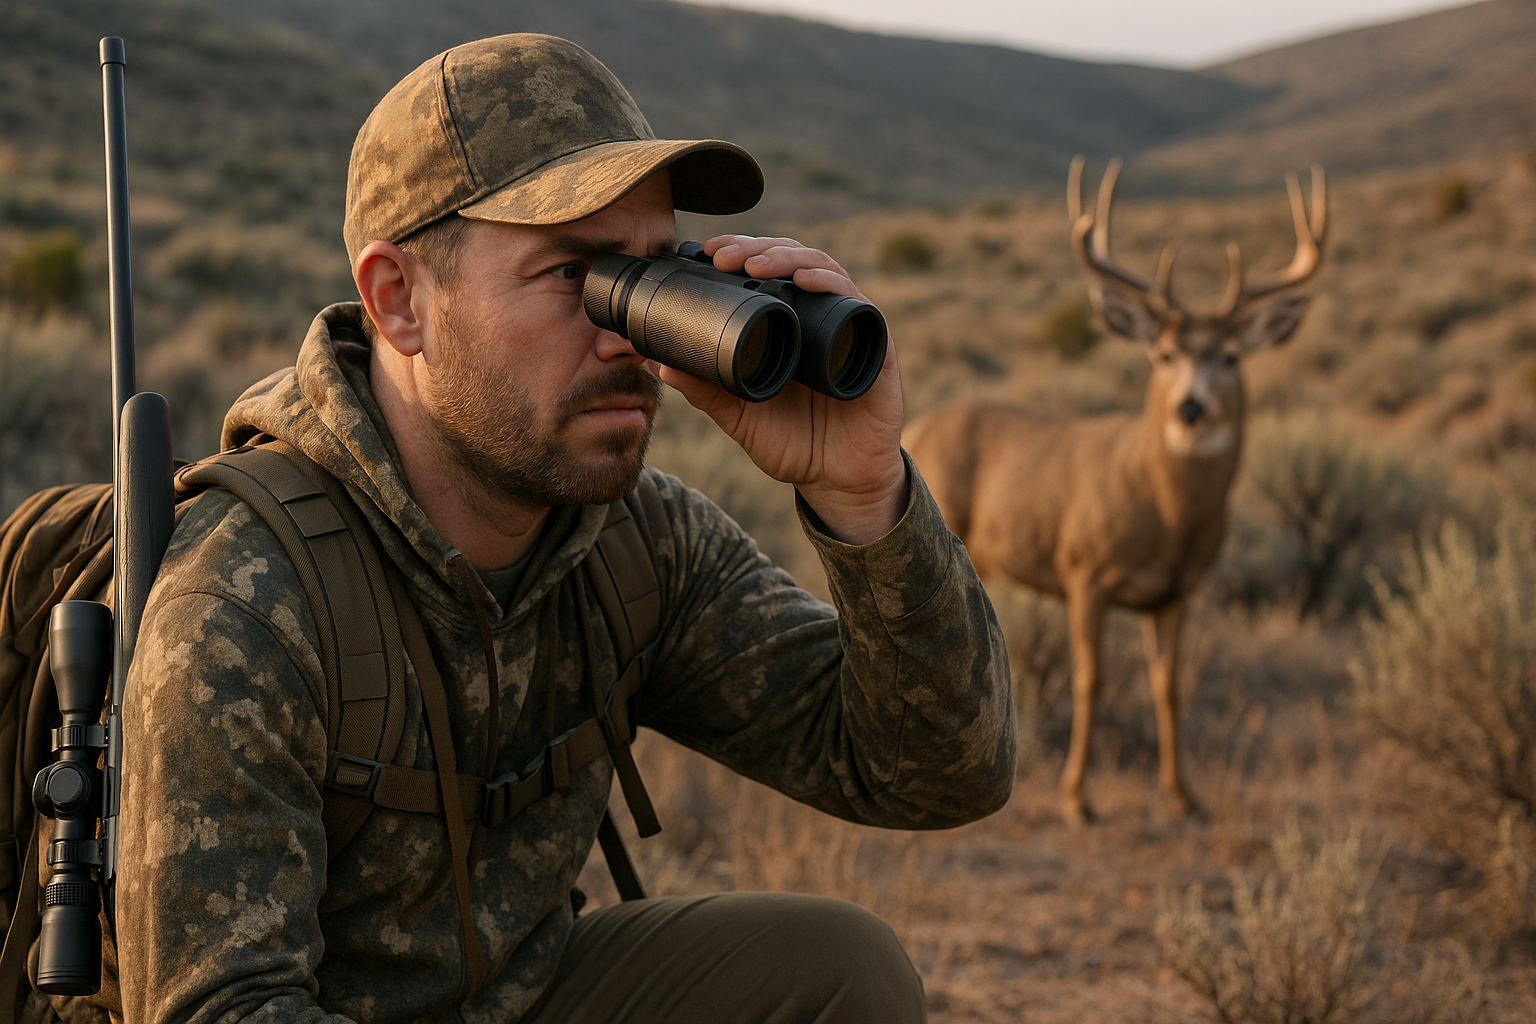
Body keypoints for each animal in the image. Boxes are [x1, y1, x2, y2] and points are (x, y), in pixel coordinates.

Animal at [904, 157, 1326, 825]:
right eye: (1164, 352)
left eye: (1231, 356)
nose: (1190, 408)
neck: (1167, 516)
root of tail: (916, 425)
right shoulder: (1084, 571)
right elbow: (1091, 679)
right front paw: (1078, 797)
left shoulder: (1179, 593)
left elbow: (1169, 685)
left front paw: (1182, 796)